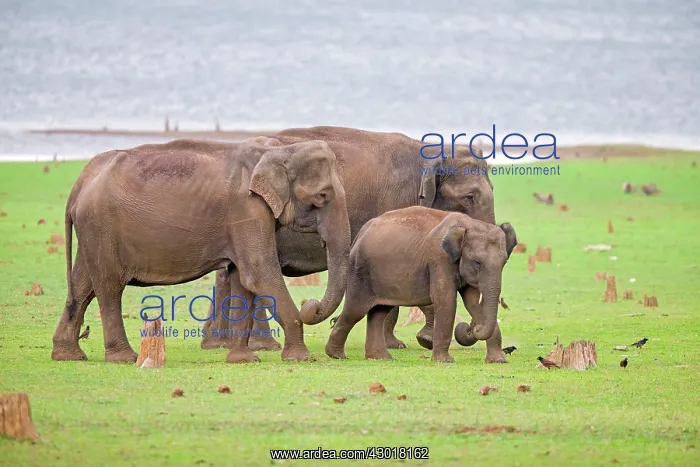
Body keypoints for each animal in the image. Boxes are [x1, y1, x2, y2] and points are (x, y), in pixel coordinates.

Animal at [51, 137, 351, 364]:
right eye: (322, 196)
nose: (311, 305)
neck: (280, 151)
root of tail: (80, 184)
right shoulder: (247, 210)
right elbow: (259, 273)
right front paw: (299, 358)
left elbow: (242, 280)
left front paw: (243, 360)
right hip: (101, 227)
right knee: (109, 287)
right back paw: (124, 358)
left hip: (93, 231)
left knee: (83, 285)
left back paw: (68, 356)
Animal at [201, 125, 498, 354]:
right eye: (469, 197)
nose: (469, 330)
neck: (428, 149)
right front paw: (410, 342)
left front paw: (402, 342)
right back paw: (262, 346)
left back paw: (217, 343)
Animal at [325, 206, 517, 363]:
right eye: (477, 262)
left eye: (504, 262)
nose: (474, 328)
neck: (467, 224)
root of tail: (360, 233)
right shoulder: (439, 258)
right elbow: (446, 300)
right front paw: (445, 361)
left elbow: (472, 303)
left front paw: (498, 361)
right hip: (360, 272)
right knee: (355, 310)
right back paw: (336, 355)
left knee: (379, 311)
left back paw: (380, 358)